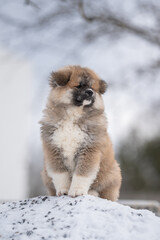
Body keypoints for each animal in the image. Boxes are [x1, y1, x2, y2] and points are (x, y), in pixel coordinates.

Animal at [39, 65, 121, 201]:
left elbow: (82, 174)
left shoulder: (89, 149)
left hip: (111, 175)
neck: (73, 115)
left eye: (92, 88)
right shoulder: (53, 148)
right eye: (79, 86)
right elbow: (60, 174)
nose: (90, 92)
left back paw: (92, 193)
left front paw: (77, 191)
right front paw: (64, 190)